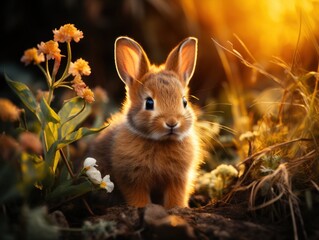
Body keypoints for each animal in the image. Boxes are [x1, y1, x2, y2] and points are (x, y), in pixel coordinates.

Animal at [90, 35, 205, 208]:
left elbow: (175, 195)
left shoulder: (178, 178)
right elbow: (137, 194)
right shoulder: (131, 178)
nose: (172, 122)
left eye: (184, 102)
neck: (161, 141)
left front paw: (177, 208)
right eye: (149, 103)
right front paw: (142, 206)